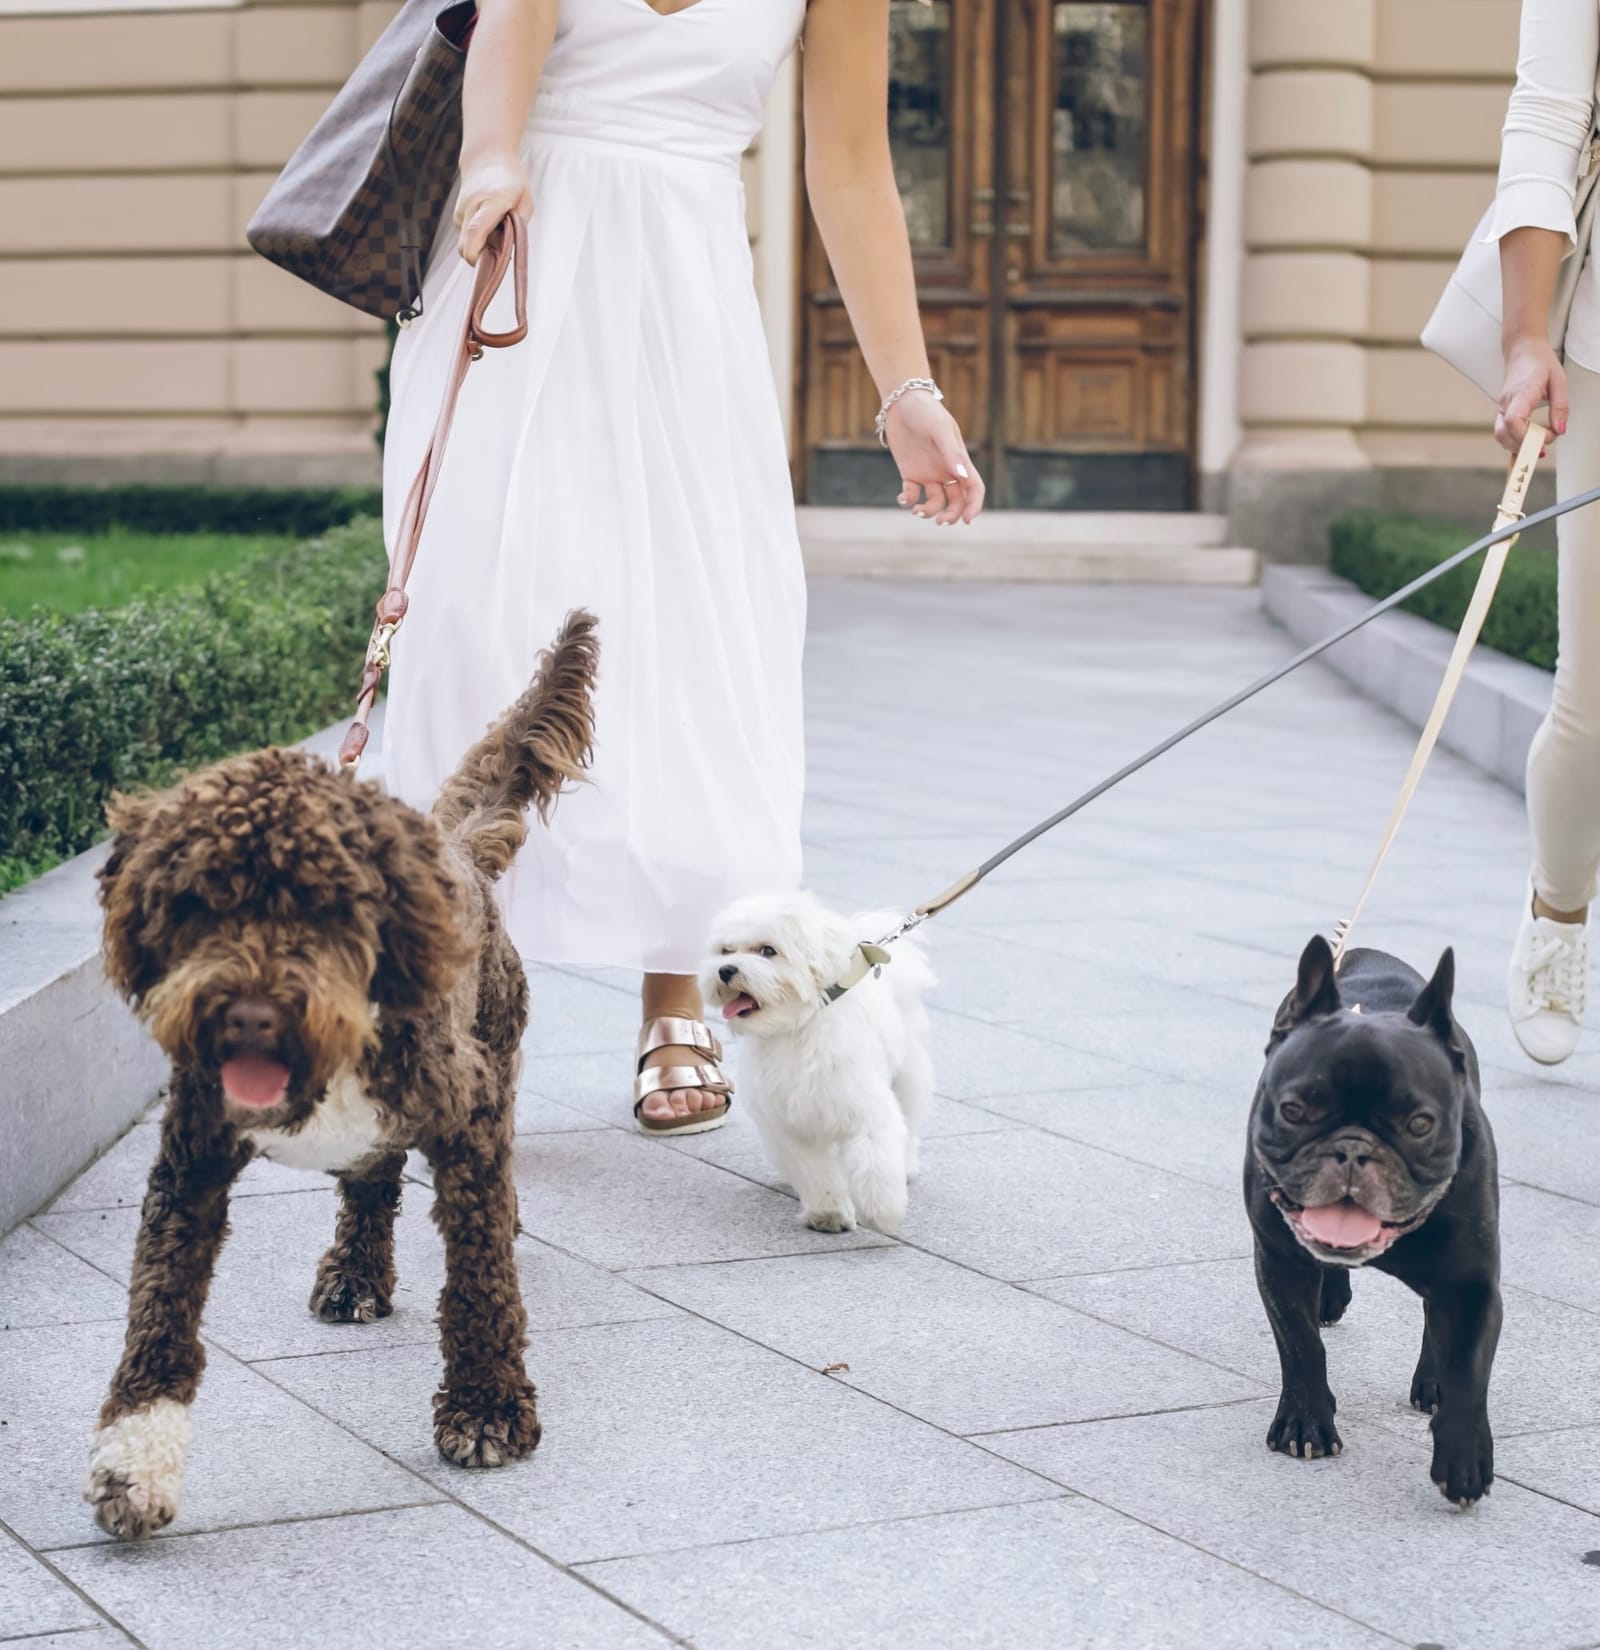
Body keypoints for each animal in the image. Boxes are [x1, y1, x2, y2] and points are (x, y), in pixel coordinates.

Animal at [82, 613, 593, 1537]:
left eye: (323, 906)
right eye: (197, 903)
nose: (249, 1015)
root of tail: (455, 845)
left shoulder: (467, 1120)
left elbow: (480, 1280)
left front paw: (487, 1407)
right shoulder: (190, 1159)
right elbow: (159, 1305)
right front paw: (133, 1463)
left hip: (495, 1050)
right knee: (370, 1181)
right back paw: (354, 1273)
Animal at [699, 897, 936, 1234]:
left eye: (768, 951)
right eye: (725, 951)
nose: (725, 970)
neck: (796, 1027)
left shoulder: (865, 1107)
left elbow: (874, 1161)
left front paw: (882, 1210)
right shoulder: (789, 1126)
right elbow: (815, 1172)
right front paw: (830, 1213)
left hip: (909, 1073)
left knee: (910, 1120)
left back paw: (907, 1166)